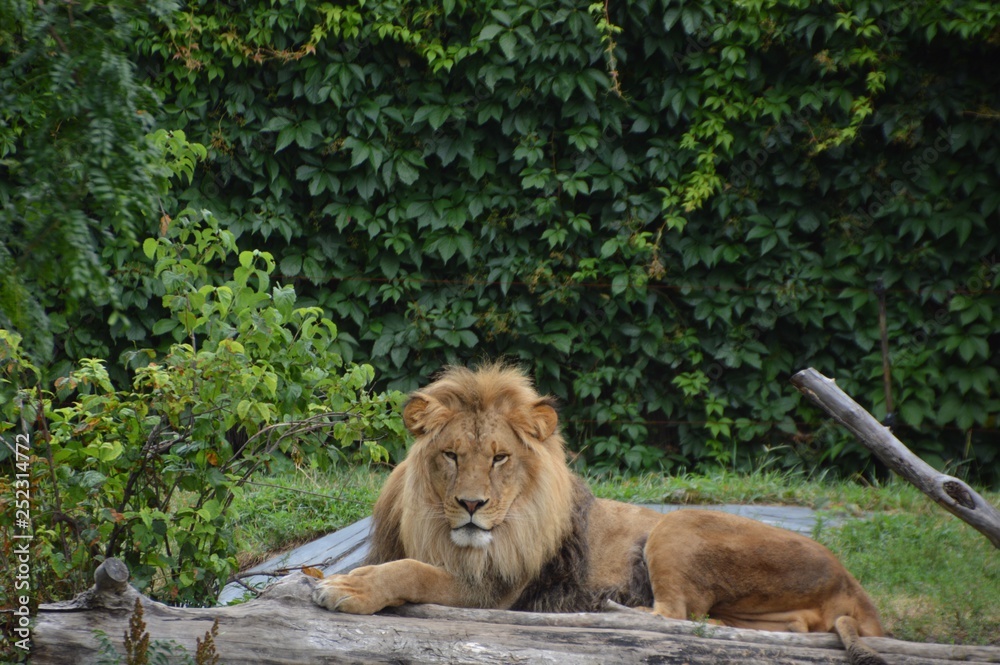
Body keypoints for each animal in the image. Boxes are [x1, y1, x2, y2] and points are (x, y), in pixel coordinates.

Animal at [313, 363, 886, 665]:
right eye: (451, 455)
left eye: (499, 458)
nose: (472, 505)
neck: (436, 526)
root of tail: (852, 581)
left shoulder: (494, 589)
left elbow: (411, 570)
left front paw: (348, 589)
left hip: (676, 523)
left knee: (674, 614)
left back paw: (606, 609)